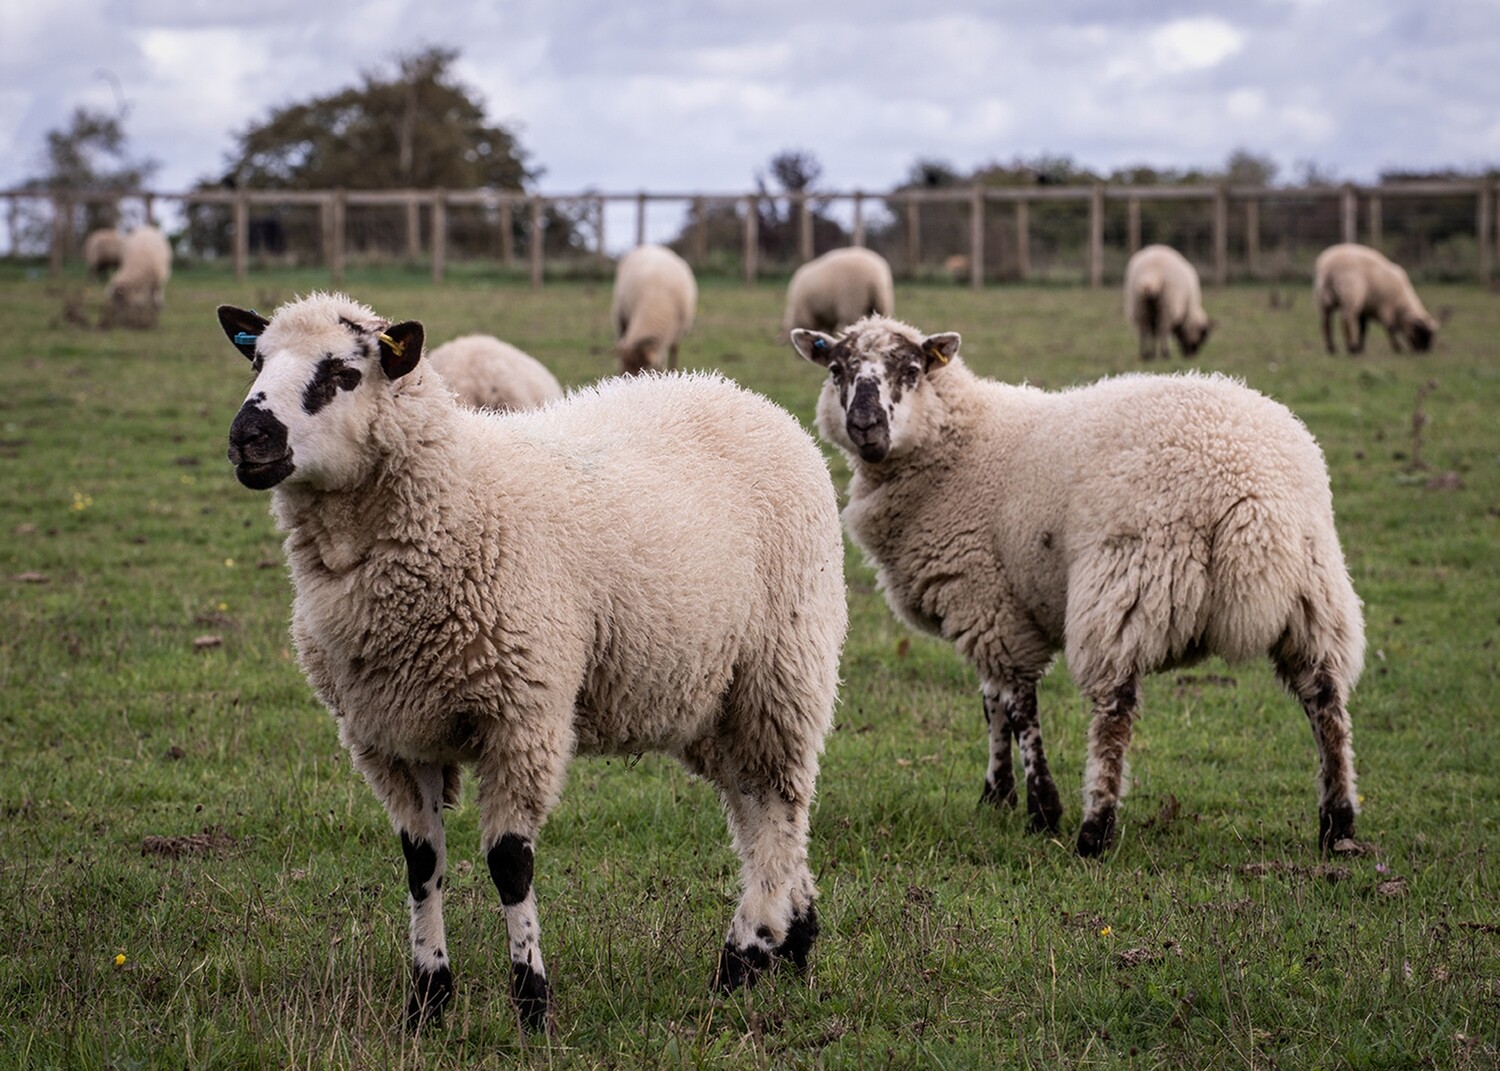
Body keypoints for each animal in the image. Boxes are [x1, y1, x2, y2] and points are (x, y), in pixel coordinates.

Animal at [609, 243, 696, 373]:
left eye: (645, 369)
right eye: (624, 368)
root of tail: (651, 246)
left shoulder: (677, 334)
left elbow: (673, 354)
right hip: (621, 317)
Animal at [792, 313, 1368, 858]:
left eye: (910, 371)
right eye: (837, 370)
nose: (865, 426)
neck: (959, 444)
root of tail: (1247, 487)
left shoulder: (985, 599)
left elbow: (1017, 706)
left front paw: (1040, 807)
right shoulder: (989, 601)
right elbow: (991, 701)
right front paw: (995, 796)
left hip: (1128, 581)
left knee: (1114, 711)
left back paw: (1095, 830)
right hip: (1314, 590)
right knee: (1325, 699)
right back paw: (1338, 826)